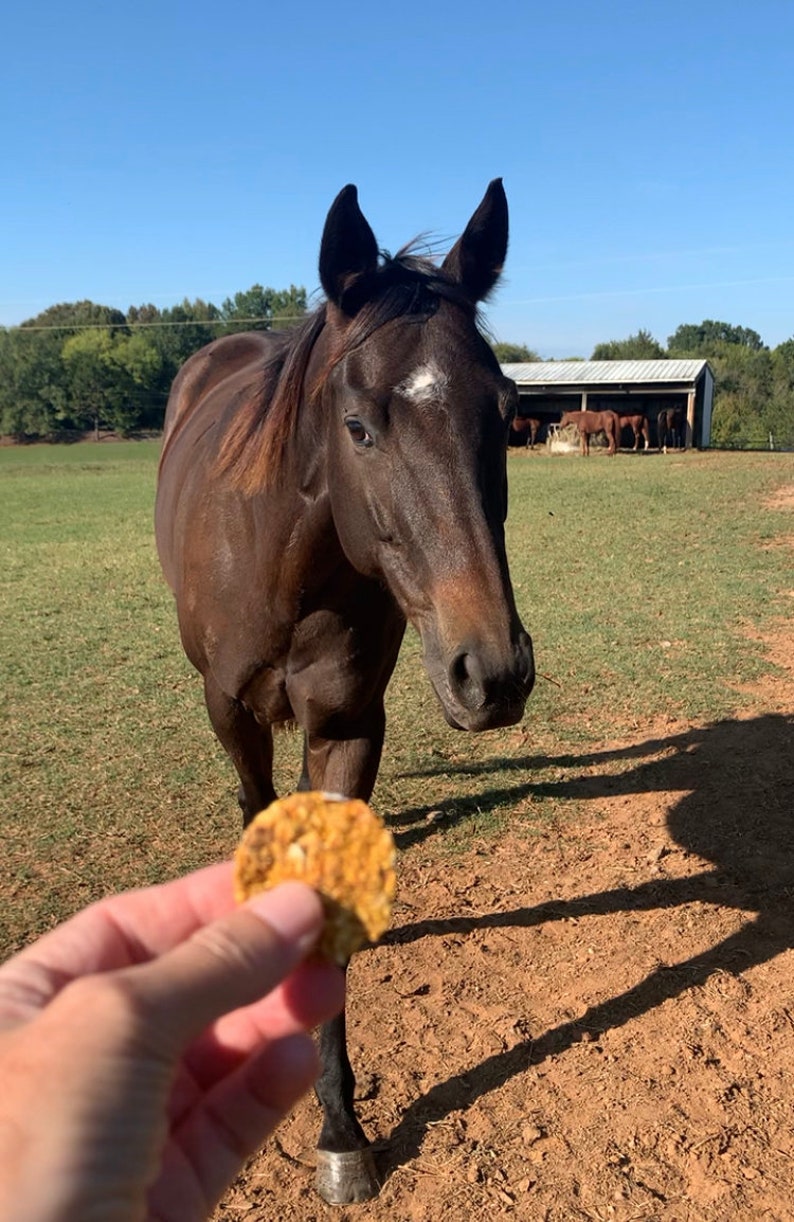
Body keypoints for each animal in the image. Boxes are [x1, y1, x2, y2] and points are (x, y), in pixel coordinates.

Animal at [155, 180, 535, 1205]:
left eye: (506, 414)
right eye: (359, 424)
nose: (493, 671)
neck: (294, 565)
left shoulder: (349, 726)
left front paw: (340, 1130)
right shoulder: (232, 714)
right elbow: (255, 810)